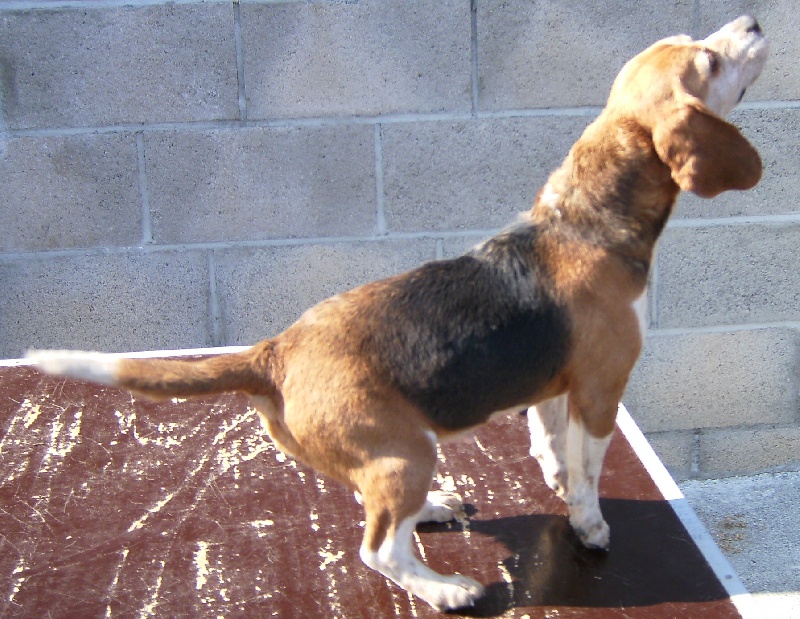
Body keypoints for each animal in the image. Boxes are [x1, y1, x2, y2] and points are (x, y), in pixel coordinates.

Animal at [29, 17, 768, 612]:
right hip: (405, 451)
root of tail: (274, 352)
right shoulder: (599, 389)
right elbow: (587, 472)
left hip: (388, 459)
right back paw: (444, 589)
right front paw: (588, 524)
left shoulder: (553, 387)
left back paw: (435, 511)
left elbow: (550, 448)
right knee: (376, 549)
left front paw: (556, 479)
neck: (586, 219)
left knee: (384, 518)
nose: (754, 22)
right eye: (708, 60)